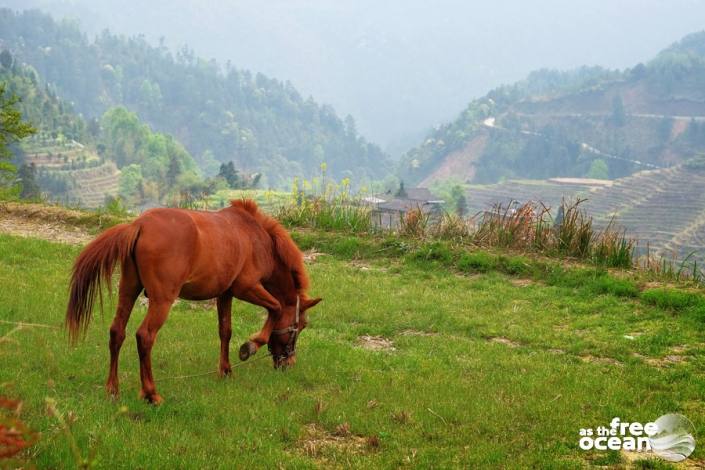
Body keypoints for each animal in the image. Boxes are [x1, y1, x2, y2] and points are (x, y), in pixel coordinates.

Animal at [63, 199, 322, 404]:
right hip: (162, 300)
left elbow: (225, 331)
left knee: (117, 332)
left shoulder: (225, 293)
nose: (289, 362)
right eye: (299, 326)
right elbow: (276, 308)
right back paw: (151, 394)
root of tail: (139, 225)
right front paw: (251, 345)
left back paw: (112, 389)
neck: (256, 238)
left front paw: (226, 371)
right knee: (145, 337)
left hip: (128, 289)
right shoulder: (246, 288)